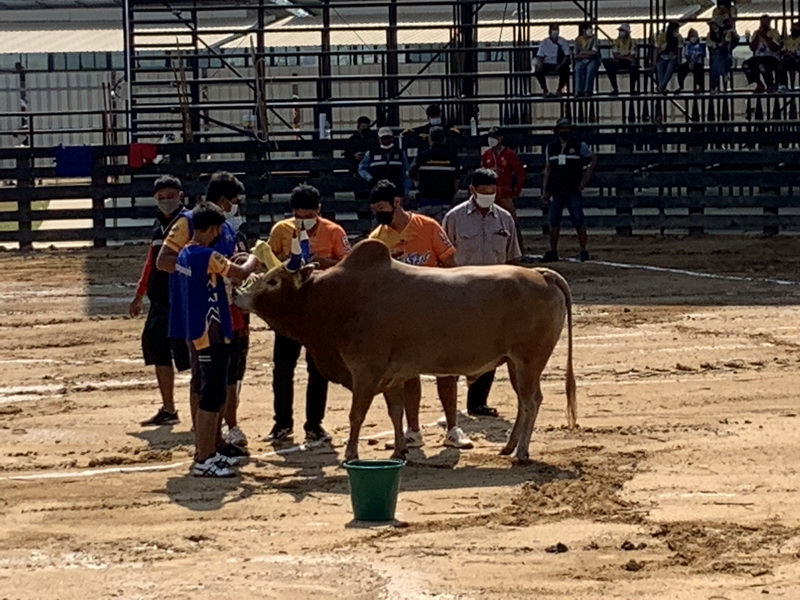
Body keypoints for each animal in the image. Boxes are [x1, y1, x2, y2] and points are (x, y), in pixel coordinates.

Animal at [234, 238, 580, 460]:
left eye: (273, 281)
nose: (237, 295)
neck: (334, 298)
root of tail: (541, 274)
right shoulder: (392, 376)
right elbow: (396, 411)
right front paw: (400, 449)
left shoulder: (365, 371)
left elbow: (356, 414)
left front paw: (350, 452)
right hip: (512, 362)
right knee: (523, 402)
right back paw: (509, 447)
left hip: (529, 360)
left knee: (532, 401)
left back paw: (520, 452)